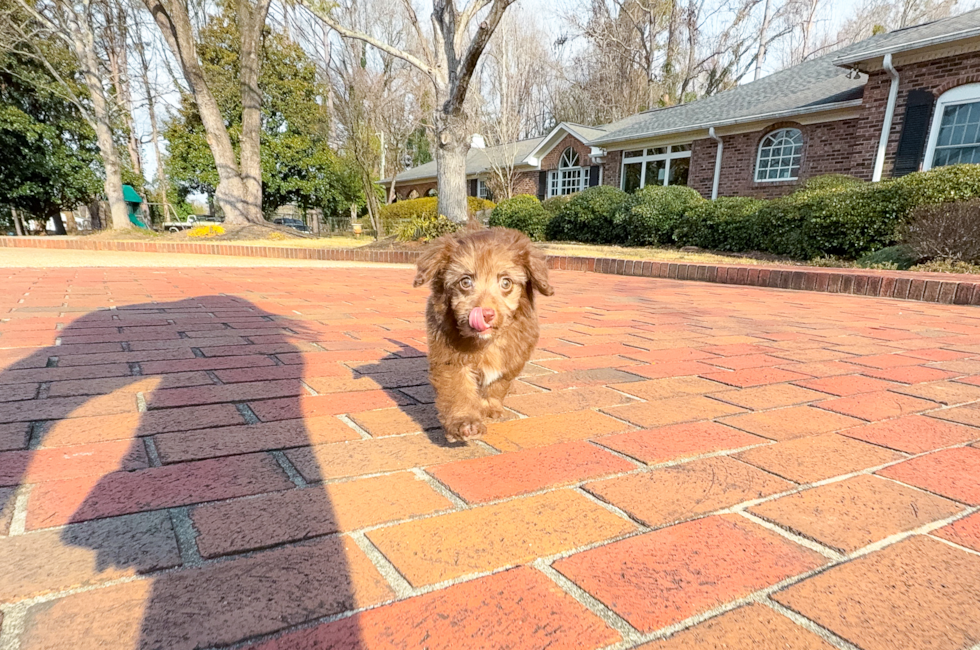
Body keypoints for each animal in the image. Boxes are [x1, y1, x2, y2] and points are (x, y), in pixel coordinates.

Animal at [412, 227, 552, 440]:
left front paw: (489, 408)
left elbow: (497, 384)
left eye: (506, 283)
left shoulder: (513, 357)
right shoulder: (450, 358)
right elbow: (459, 388)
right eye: (465, 282)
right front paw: (465, 422)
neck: (485, 341)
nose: (485, 314)